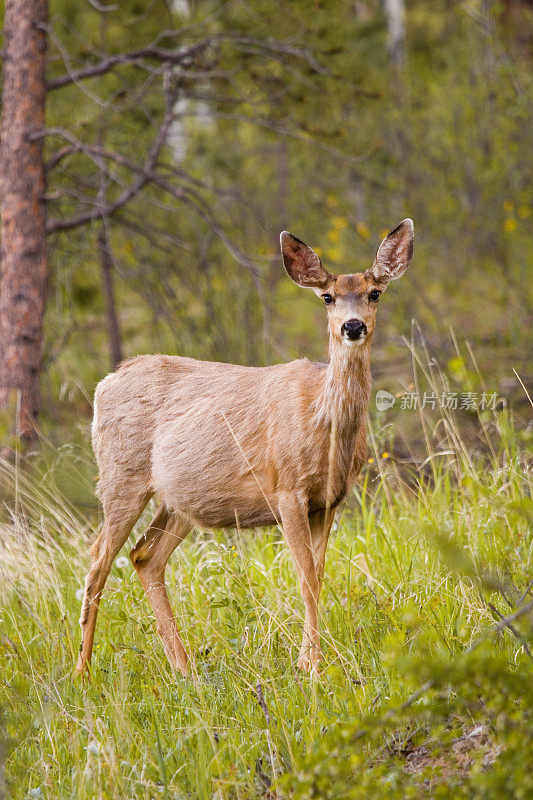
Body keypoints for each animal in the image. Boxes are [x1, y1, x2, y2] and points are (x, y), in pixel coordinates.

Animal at [77, 217, 414, 676]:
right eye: (327, 297)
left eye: (374, 293)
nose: (353, 326)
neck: (324, 423)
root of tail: (106, 382)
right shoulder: (287, 488)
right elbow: (306, 577)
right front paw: (310, 666)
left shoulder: (329, 499)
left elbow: (319, 574)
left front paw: (312, 659)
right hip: (121, 476)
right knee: (97, 561)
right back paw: (82, 672)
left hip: (180, 500)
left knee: (144, 555)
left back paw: (185, 669)